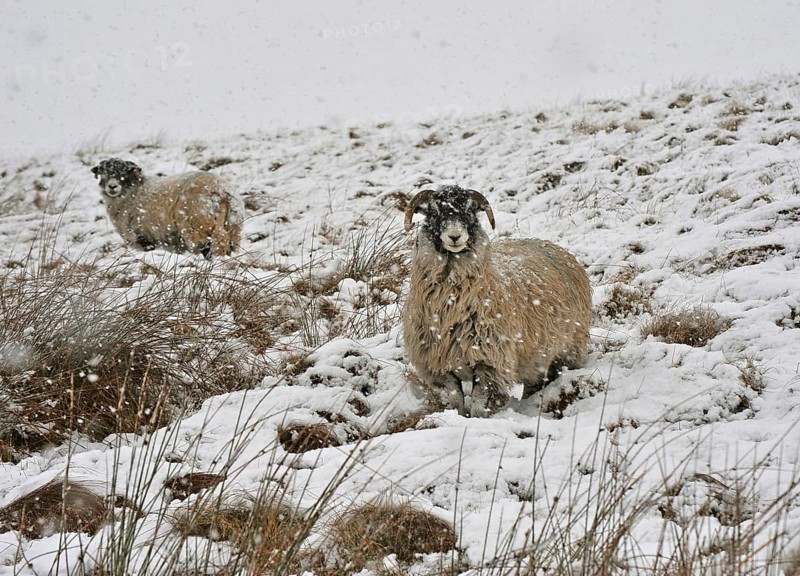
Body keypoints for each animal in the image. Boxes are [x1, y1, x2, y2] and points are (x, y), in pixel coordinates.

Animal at [90, 158, 244, 259]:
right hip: (233, 225)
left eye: (124, 174)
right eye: (103, 173)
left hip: (196, 226)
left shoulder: (143, 238)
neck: (133, 192)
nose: (112, 186)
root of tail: (219, 189)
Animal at [402, 185, 591, 417]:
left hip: (570, 347)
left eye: (470, 211)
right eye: (434, 212)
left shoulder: (489, 361)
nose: (455, 236)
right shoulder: (440, 365)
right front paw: (458, 417)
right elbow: (456, 401)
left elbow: (477, 404)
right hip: (536, 357)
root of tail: (556, 248)